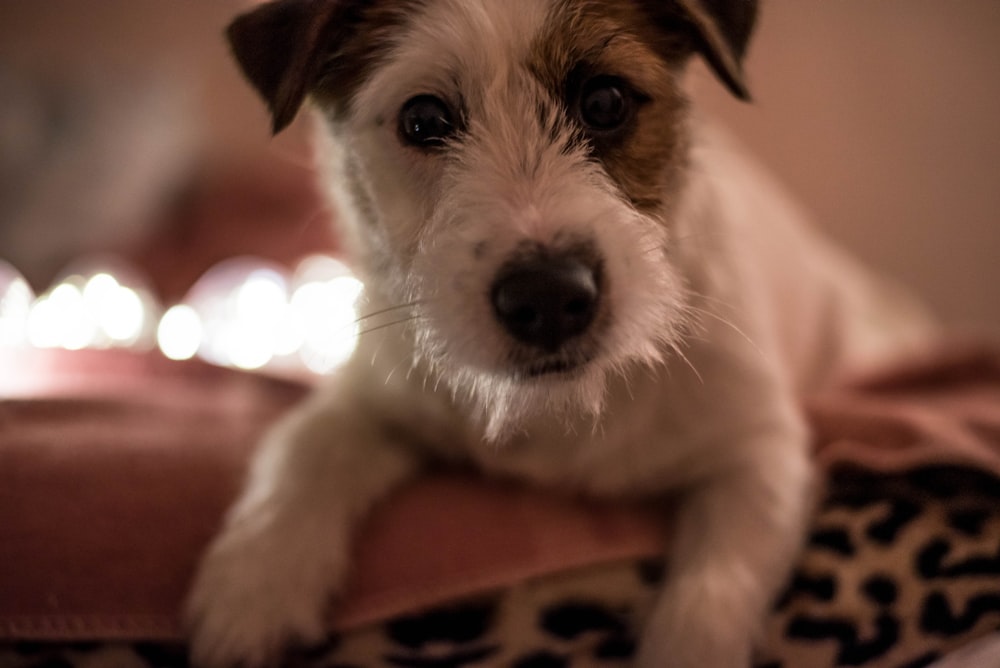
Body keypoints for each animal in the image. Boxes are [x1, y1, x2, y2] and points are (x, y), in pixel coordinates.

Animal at [186, 1, 928, 668]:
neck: (564, 409)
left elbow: (714, 588)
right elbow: (304, 447)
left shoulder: (759, 451)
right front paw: (251, 589)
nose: (547, 299)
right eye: (423, 120)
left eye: (605, 101)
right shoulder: (374, 398)